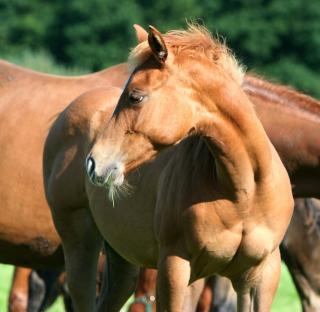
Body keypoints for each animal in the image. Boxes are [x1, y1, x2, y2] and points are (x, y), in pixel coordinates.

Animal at [44, 25, 292, 312]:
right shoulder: (175, 267)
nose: (94, 163)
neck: (245, 191)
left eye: (135, 96)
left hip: (120, 260)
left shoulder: (260, 277)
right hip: (79, 242)